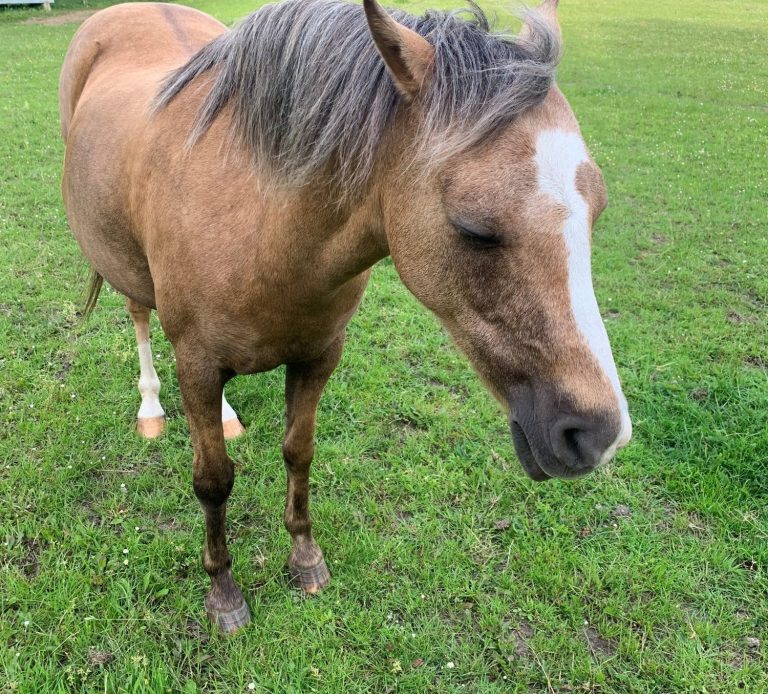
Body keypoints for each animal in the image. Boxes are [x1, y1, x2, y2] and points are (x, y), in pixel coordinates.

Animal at [59, 0, 632, 633]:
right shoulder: (198, 365)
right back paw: (152, 409)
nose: (600, 434)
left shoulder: (318, 356)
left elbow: (298, 451)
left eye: (597, 211)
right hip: (125, 268)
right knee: (139, 316)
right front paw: (224, 593)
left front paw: (306, 559)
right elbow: (214, 481)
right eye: (474, 228)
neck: (263, 226)